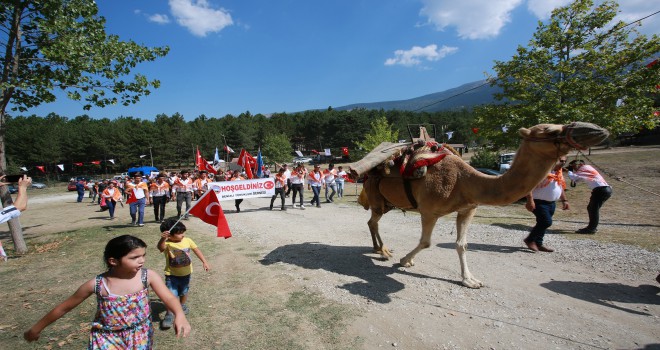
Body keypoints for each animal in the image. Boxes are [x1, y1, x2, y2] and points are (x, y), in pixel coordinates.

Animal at [356, 121, 608, 288]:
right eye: (550, 130)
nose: (598, 130)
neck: (464, 180)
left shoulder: (468, 209)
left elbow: (462, 244)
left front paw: (470, 280)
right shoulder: (429, 211)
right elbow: (426, 242)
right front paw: (405, 261)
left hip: (387, 202)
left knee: (371, 222)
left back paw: (379, 249)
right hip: (376, 198)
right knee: (373, 221)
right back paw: (384, 251)